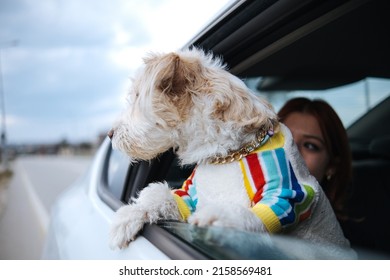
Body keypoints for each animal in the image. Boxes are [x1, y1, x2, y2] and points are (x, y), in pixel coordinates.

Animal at [108, 47, 352, 254]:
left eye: (137, 97)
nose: (109, 134)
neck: (228, 155)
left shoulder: (289, 190)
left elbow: (264, 211)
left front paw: (221, 218)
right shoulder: (190, 196)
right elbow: (160, 196)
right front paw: (127, 217)